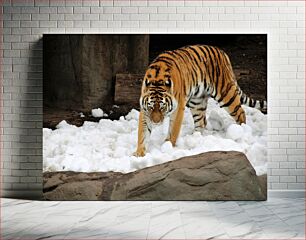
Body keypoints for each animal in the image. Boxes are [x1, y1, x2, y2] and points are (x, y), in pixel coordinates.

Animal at [134, 44, 266, 158]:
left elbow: (173, 130)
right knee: (202, 122)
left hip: (226, 95)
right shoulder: (145, 111)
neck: (157, 80)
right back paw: (195, 139)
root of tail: (222, 53)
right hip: (197, 102)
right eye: (151, 107)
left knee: (241, 113)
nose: (156, 122)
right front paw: (139, 153)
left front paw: (167, 146)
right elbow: (143, 133)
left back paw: (242, 131)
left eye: (162, 107)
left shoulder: (178, 108)